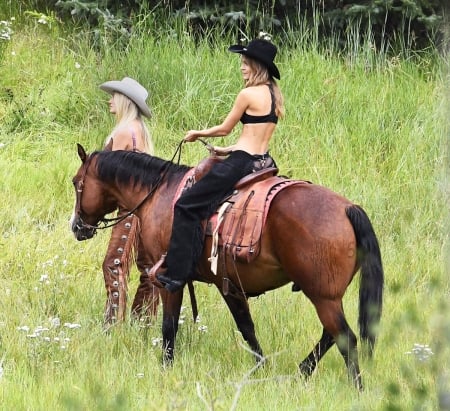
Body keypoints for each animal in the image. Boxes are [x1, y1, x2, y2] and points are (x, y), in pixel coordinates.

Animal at [69, 144, 384, 390]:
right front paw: (260, 369)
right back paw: (301, 372)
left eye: (76, 182)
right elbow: (247, 327)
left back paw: (355, 387)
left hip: (323, 296)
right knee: (332, 335)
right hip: (327, 296)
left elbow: (169, 326)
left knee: (346, 338)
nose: (76, 226)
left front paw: (166, 367)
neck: (159, 195)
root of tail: (347, 209)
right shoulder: (229, 285)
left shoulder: (171, 281)